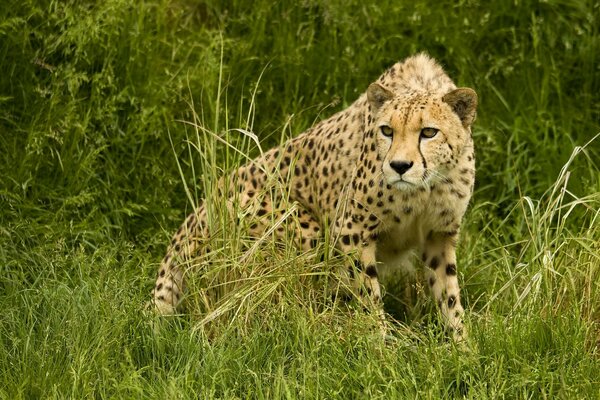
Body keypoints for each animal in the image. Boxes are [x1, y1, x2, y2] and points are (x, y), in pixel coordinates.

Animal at [154, 53, 478, 340]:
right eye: (387, 130)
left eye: (429, 132)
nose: (399, 166)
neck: (425, 187)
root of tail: (185, 227)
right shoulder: (350, 231)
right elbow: (367, 296)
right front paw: (382, 347)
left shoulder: (439, 234)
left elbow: (449, 294)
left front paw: (462, 347)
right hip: (296, 228)